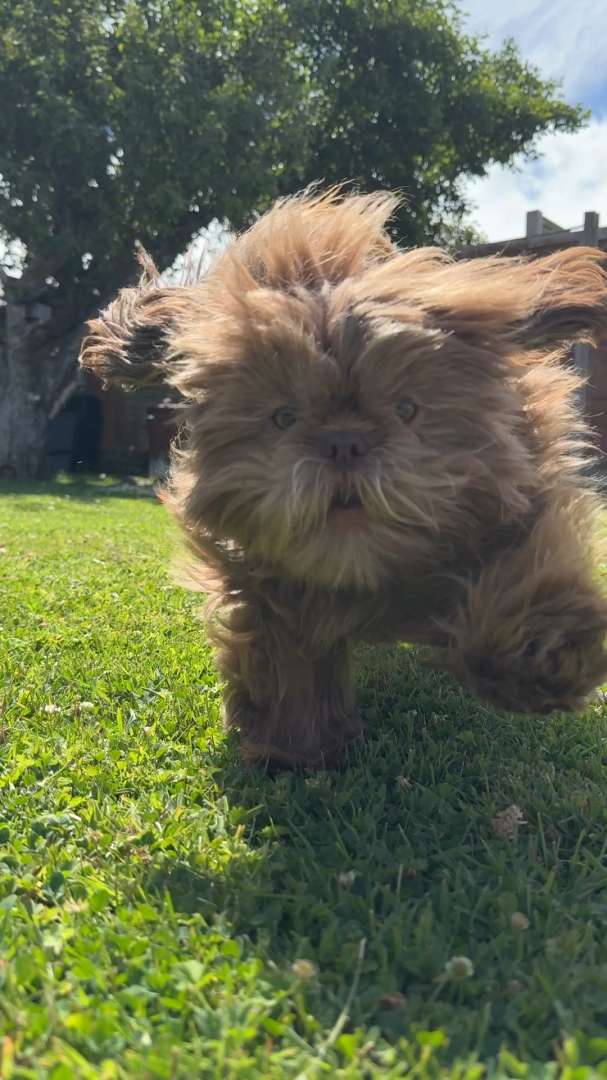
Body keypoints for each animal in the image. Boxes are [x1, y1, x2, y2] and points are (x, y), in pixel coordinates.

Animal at [80, 190, 607, 768]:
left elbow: (526, 571)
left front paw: (536, 660)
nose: (344, 443)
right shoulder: (268, 589)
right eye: (284, 417)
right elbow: (288, 665)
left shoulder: (528, 496)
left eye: (406, 409)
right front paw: (293, 747)